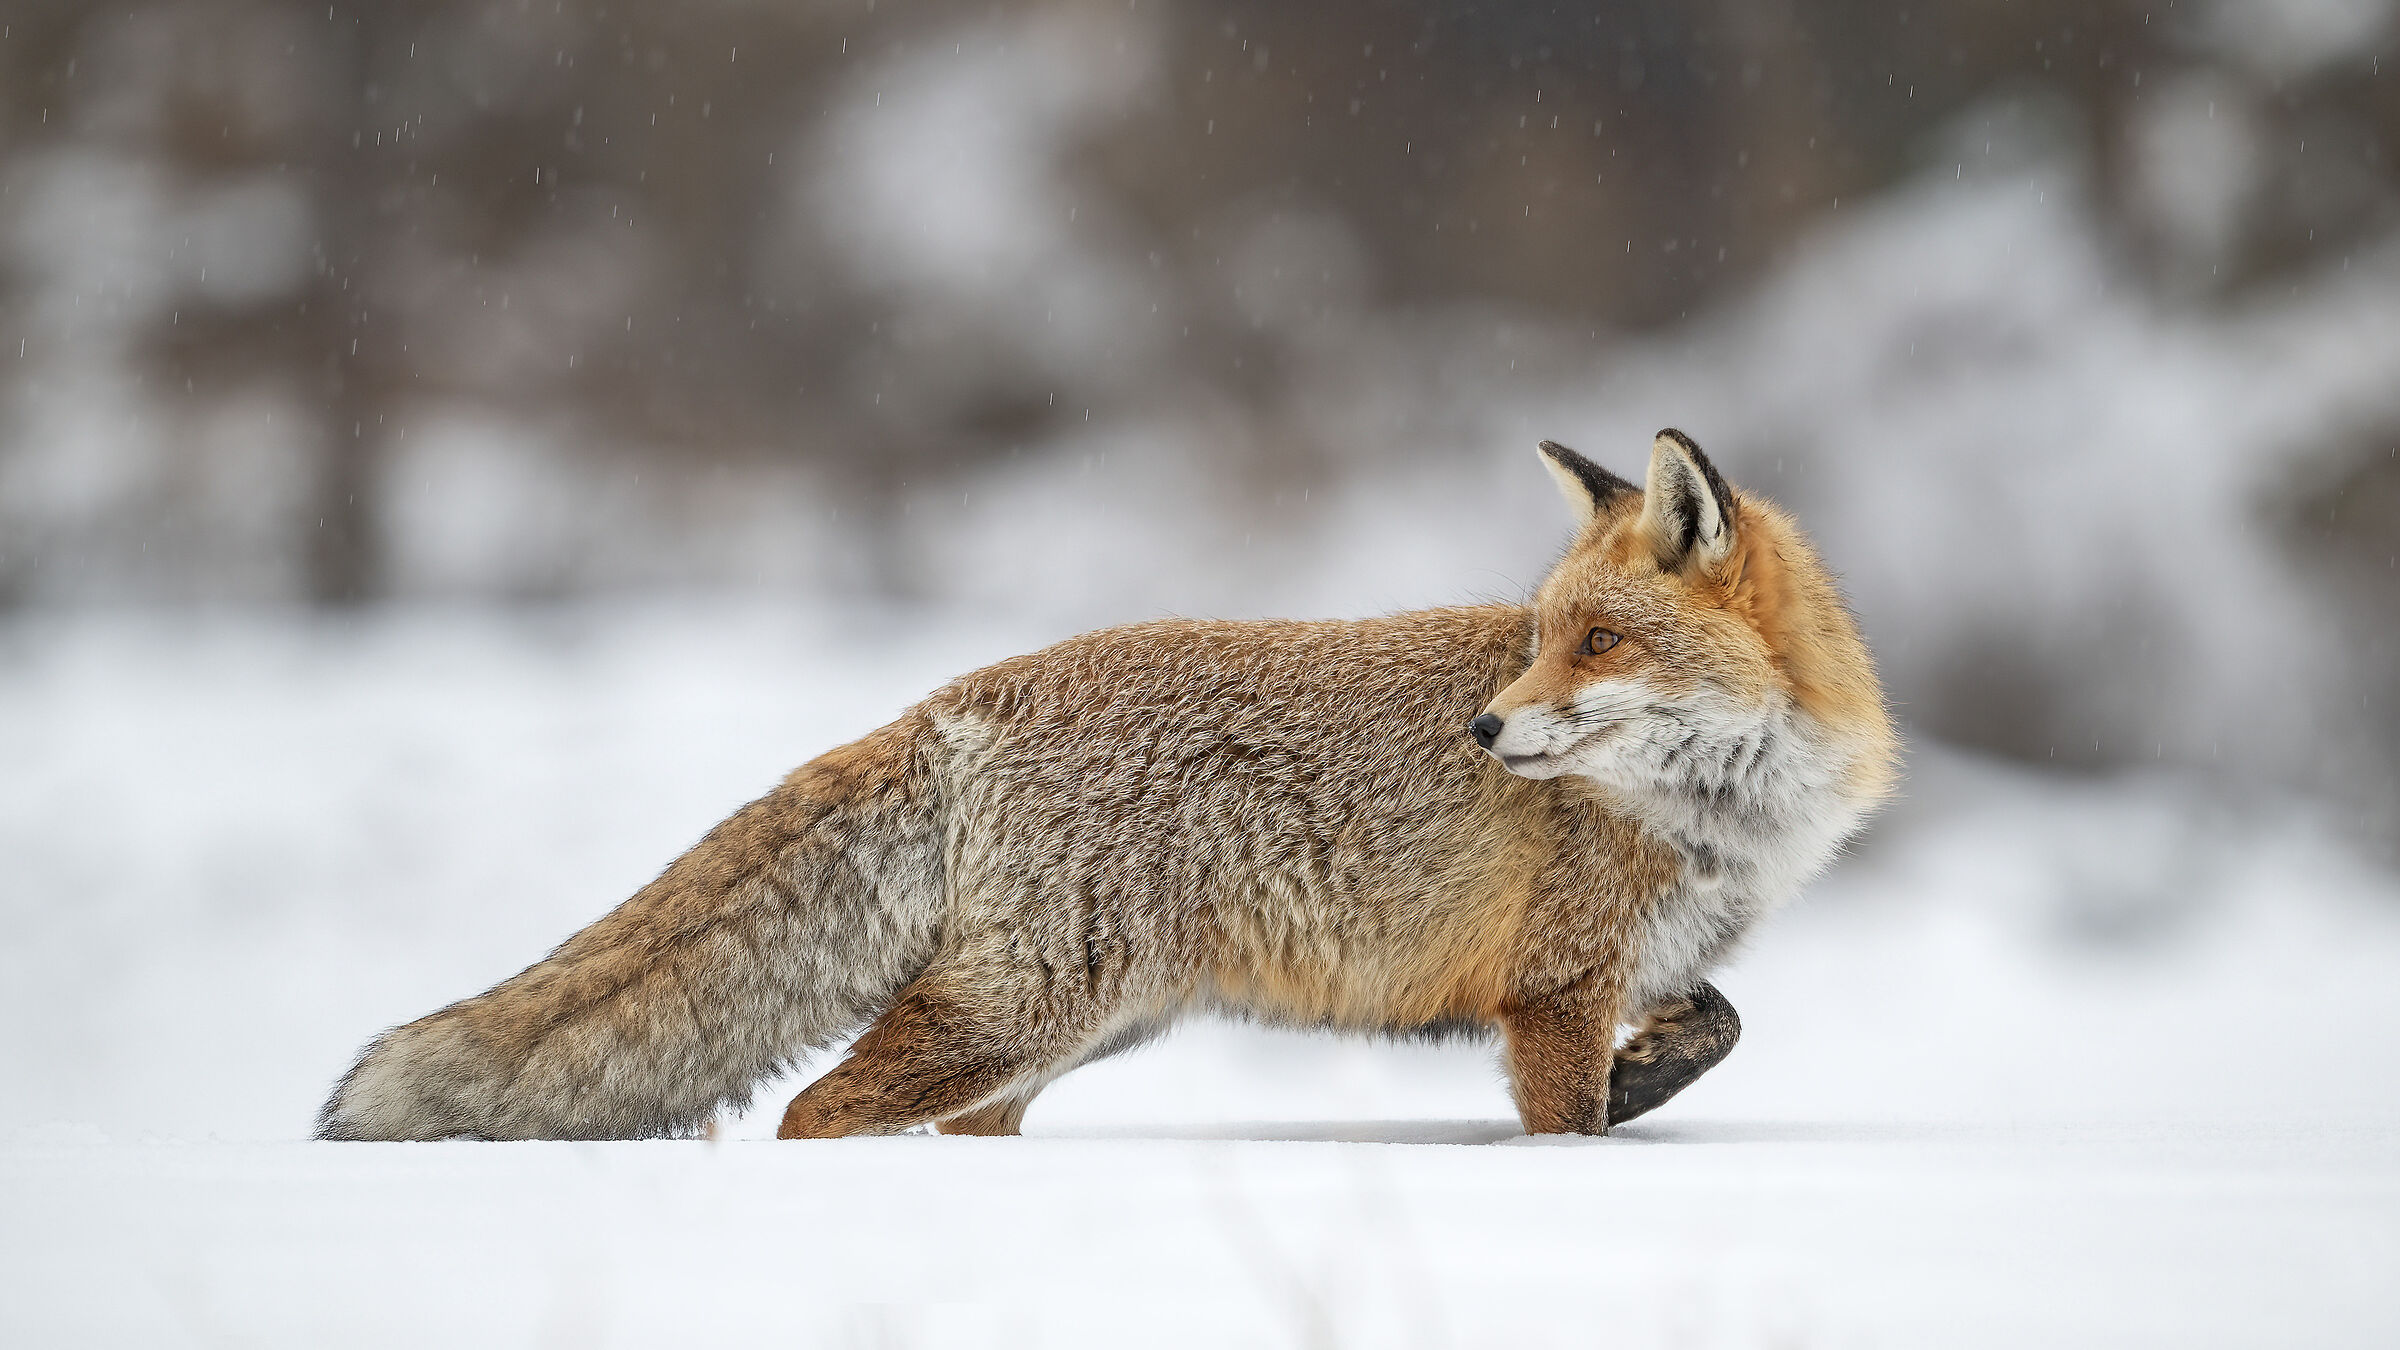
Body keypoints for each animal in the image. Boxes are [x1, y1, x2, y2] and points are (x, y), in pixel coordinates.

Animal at [318, 429, 1896, 1142]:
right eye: (1540, 640)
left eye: (1599, 641)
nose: (1485, 728)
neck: (1727, 816)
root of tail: (965, 691)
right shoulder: (1555, 984)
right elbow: (1573, 1124)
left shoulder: (1655, 963)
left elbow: (1724, 1027)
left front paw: (1656, 1079)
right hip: (1027, 1011)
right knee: (813, 1111)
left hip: (1078, 1035)